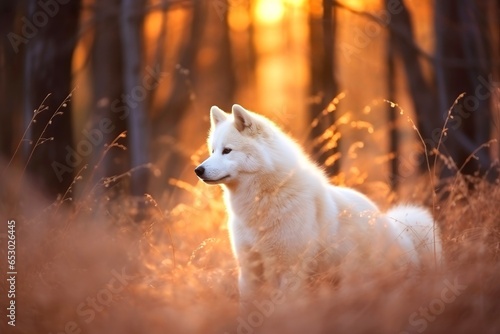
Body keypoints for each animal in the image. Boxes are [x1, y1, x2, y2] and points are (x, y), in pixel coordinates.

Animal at [195, 105, 442, 306]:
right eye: (212, 151)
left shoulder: (291, 269)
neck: (264, 200)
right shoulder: (250, 270)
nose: (198, 170)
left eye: (227, 150)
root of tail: (403, 235)